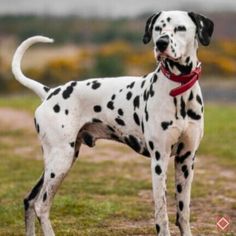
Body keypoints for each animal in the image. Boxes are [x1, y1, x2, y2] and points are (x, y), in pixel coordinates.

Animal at [11, 10, 214, 235]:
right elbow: (162, 214)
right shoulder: (159, 160)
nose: (161, 43)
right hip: (60, 161)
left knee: (29, 200)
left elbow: (183, 212)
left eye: (180, 28)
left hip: (58, 161)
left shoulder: (186, 159)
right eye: (158, 28)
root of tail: (49, 92)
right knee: (41, 205)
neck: (179, 91)